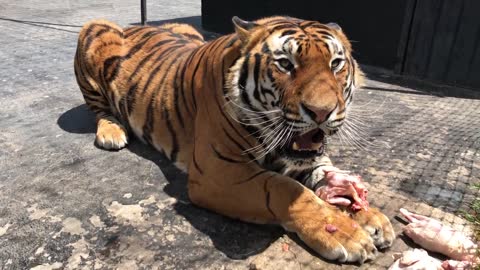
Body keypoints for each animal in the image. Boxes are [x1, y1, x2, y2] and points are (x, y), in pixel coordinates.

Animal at [75, 15, 396, 264]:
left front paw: (371, 217)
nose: (321, 112)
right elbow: (285, 189)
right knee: (99, 108)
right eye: (285, 64)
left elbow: (326, 176)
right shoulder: (218, 172)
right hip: (93, 30)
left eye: (336, 63)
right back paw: (112, 132)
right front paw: (346, 234)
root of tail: (136, 26)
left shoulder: (305, 159)